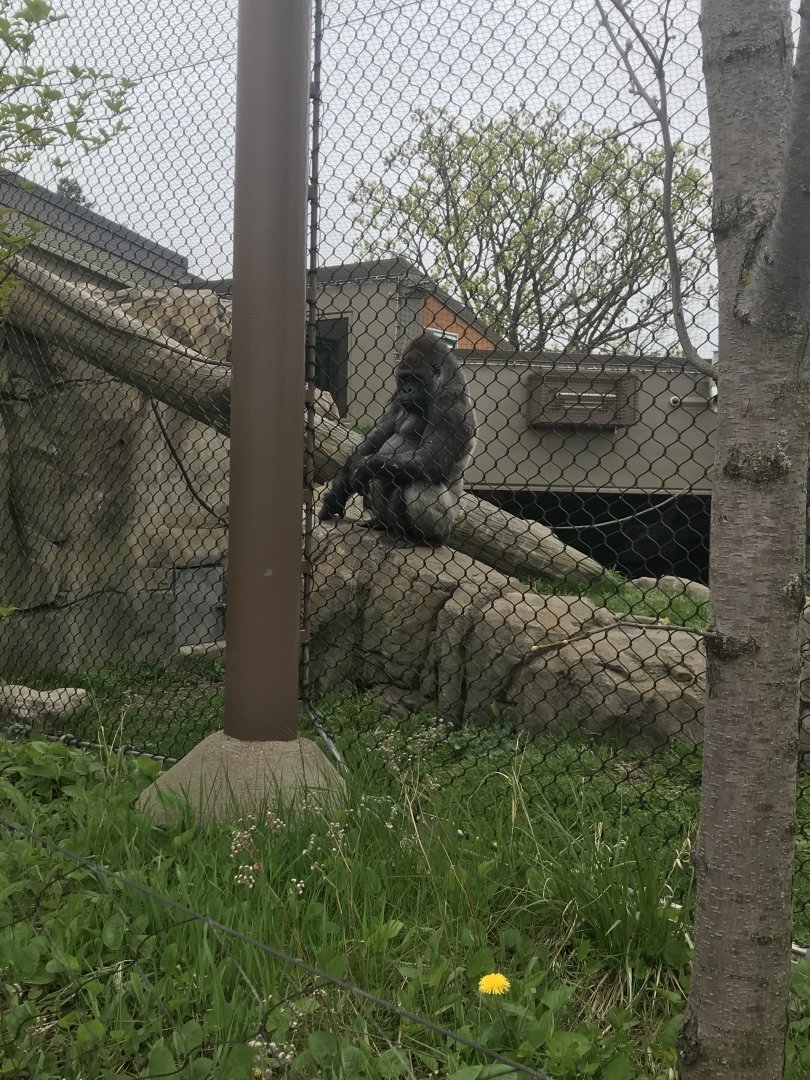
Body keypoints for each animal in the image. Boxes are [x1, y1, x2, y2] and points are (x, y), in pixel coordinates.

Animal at [318, 332, 477, 547]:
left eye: (416, 378)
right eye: (403, 379)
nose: (406, 390)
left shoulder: (450, 405)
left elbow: (429, 459)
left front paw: (363, 467)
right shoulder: (396, 397)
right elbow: (375, 440)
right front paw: (336, 495)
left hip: (447, 526)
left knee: (415, 485)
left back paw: (423, 539)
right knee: (380, 478)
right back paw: (381, 524)